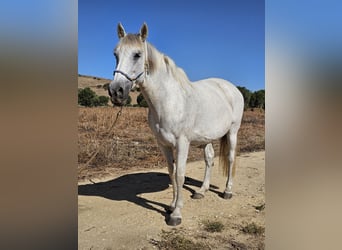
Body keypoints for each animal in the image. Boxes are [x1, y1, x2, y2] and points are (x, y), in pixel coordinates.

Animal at [108, 23, 244, 227]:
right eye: (115, 54)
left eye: (137, 54)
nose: (116, 91)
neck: (168, 100)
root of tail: (232, 88)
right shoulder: (163, 144)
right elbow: (171, 173)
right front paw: (171, 205)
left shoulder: (182, 143)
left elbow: (180, 175)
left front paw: (176, 214)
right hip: (207, 138)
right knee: (209, 159)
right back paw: (201, 191)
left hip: (232, 132)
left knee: (231, 158)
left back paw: (227, 191)